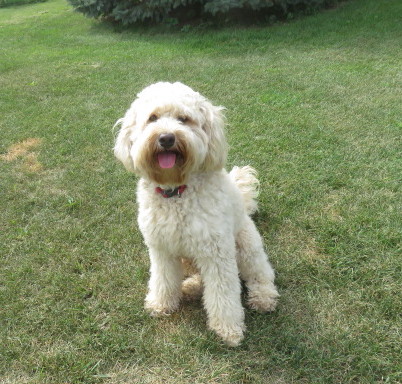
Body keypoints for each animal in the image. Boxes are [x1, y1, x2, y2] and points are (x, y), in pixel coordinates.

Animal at [112, 82, 276, 346]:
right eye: (153, 118)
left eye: (184, 119)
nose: (166, 138)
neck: (176, 192)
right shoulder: (162, 250)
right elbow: (163, 280)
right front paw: (161, 304)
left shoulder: (217, 253)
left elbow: (223, 293)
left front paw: (228, 330)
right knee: (200, 279)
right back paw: (189, 287)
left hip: (246, 246)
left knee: (261, 274)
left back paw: (263, 298)